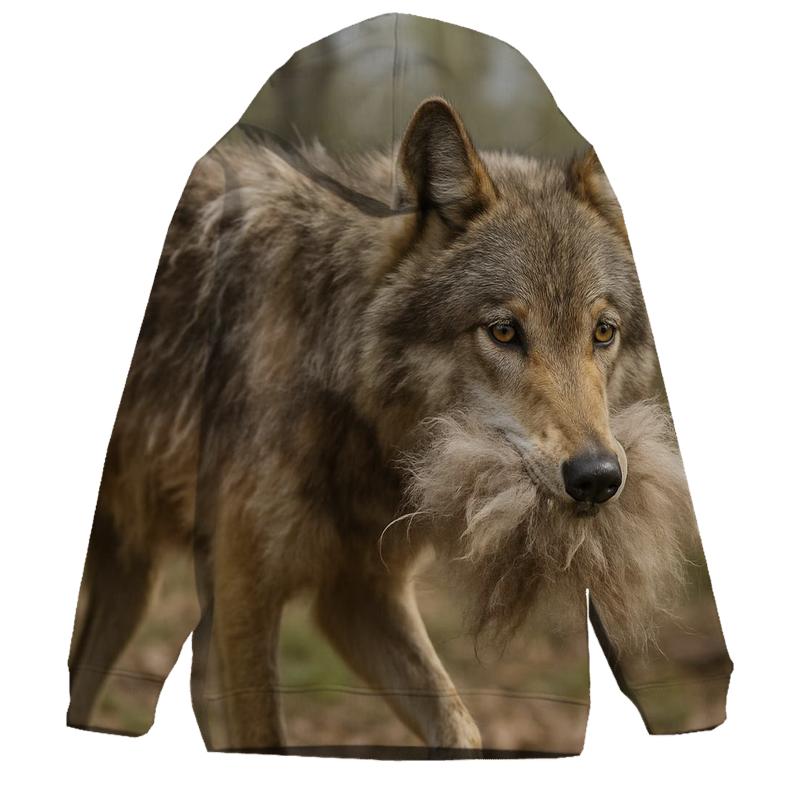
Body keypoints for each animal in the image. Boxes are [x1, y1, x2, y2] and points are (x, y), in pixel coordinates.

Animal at [67, 96, 699, 750]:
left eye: (603, 331)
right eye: (503, 331)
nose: (597, 477)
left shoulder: (358, 596)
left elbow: (462, 730)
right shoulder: (245, 593)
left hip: (133, 586)